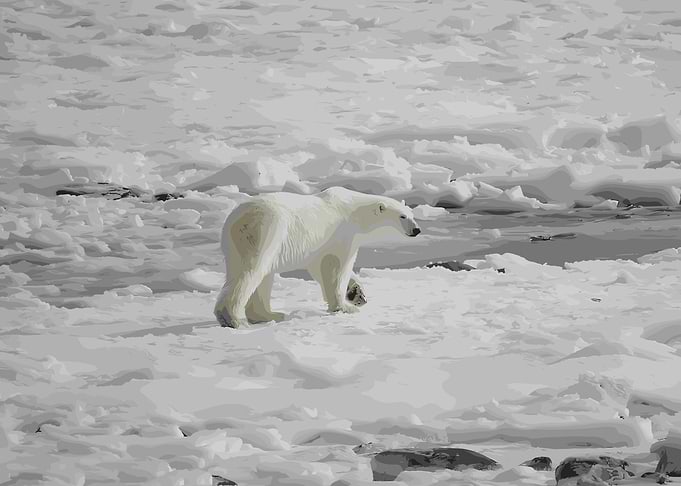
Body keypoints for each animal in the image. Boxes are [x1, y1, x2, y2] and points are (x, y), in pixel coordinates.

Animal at [214, 186, 421, 328]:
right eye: (402, 217)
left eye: (412, 215)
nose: (417, 230)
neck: (354, 211)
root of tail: (234, 220)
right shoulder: (342, 234)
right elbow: (338, 267)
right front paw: (345, 307)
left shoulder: (318, 246)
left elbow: (320, 268)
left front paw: (356, 293)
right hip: (265, 230)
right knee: (251, 271)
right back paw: (235, 319)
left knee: (261, 275)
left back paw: (270, 315)